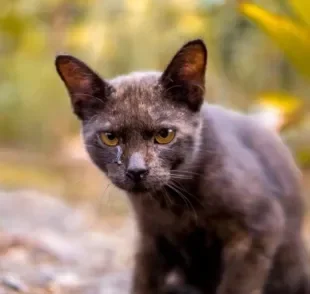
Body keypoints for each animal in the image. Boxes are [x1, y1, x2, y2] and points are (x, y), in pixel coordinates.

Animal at [55, 39, 310, 294]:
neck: (173, 204)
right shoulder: (151, 239)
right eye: (110, 138)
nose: (136, 170)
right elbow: (144, 283)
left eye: (165, 135)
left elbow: (236, 286)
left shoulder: (259, 229)